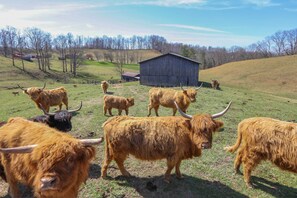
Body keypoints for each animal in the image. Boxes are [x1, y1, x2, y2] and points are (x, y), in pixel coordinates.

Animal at [100, 100, 230, 181]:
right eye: (195, 129)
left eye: (211, 129)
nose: (205, 144)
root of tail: (111, 120)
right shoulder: (173, 154)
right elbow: (171, 166)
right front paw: (167, 178)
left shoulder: (180, 153)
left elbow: (178, 164)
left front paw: (179, 176)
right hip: (119, 149)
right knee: (117, 161)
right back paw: (123, 174)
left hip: (112, 148)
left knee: (109, 160)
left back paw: (105, 174)